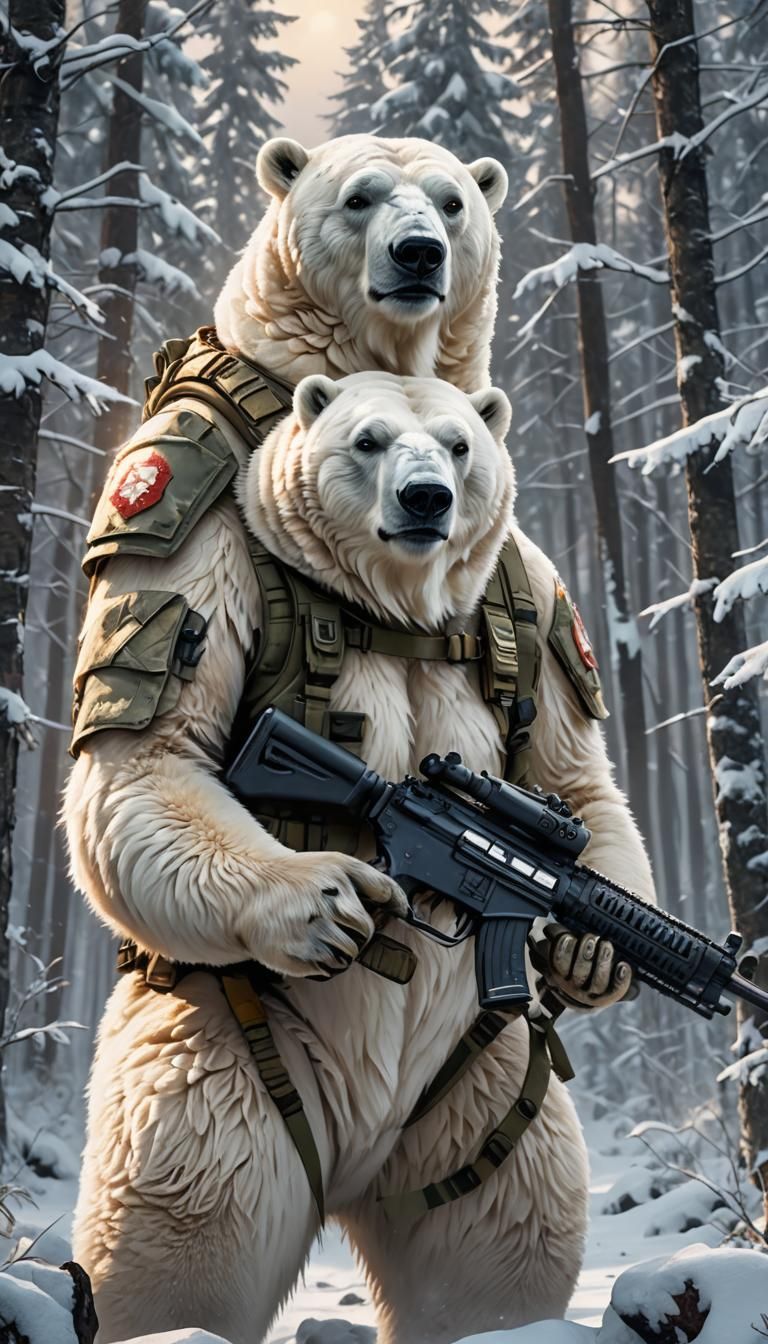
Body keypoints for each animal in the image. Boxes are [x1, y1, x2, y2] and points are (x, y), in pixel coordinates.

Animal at [64, 369, 653, 1344]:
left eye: (459, 446)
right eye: (367, 441)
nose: (428, 500)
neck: (402, 609)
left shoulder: (537, 595)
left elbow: (579, 778)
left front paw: (592, 954)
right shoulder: (203, 551)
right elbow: (153, 761)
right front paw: (319, 906)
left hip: (485, 1108)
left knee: (494, 1260)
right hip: (213, 1094)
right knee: (180, 1254)